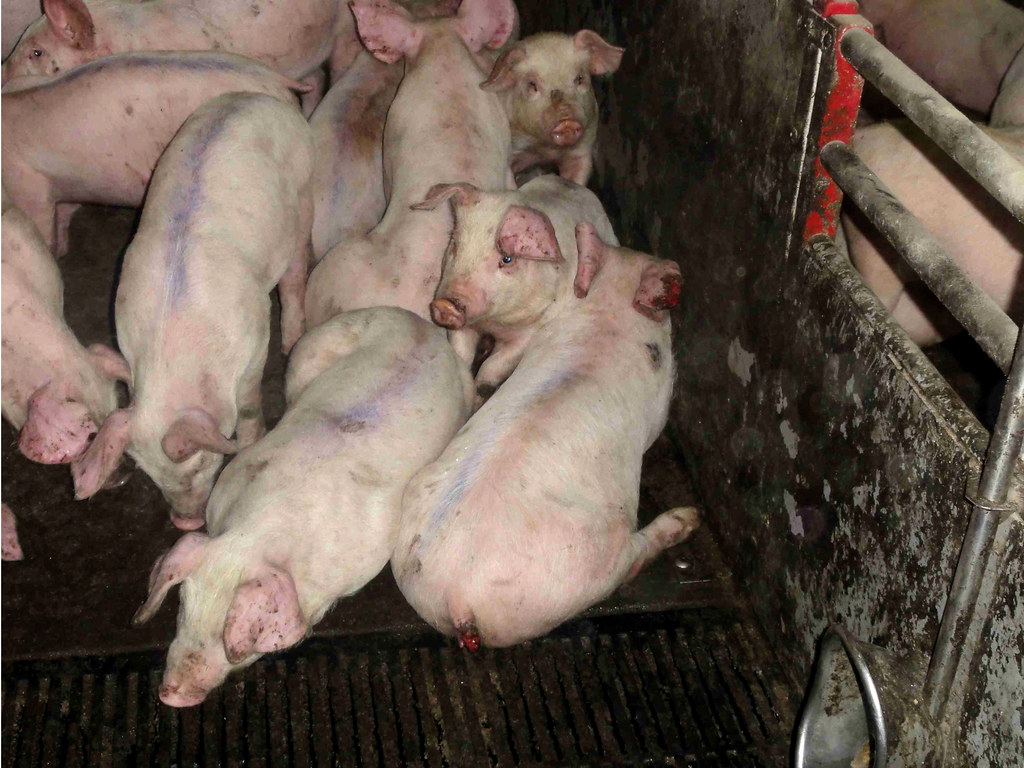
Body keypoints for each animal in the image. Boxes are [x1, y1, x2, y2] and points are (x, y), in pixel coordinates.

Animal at [69, 93, 314, 529]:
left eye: (201, 463)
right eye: (149, 473)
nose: (185, 522)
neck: (177, 355)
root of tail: (261, 98)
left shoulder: (254, 339)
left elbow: (248, 406)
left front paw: (249, 444)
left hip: (304, 191)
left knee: (296, 271)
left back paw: (292, 343)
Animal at [131, 307, 473, 706]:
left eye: (233, 638)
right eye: (184, 605)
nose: (171, 695)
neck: (255, 531)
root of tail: (425, 327)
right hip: (309, 353)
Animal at [392, 220, 695, 649]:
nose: (673, 265)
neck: (606, 311)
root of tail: (456, 596)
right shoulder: (659, 403)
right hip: (591, 565)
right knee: (634, 556)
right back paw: (688, 518)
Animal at [415, 174, 617, 401]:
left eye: (507, 259)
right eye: (456, 245)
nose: (445, 304)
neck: (493, 322)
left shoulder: (531, 331)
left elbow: (495, 364)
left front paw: (482, 391)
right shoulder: (465, 325)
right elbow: (461, 352)